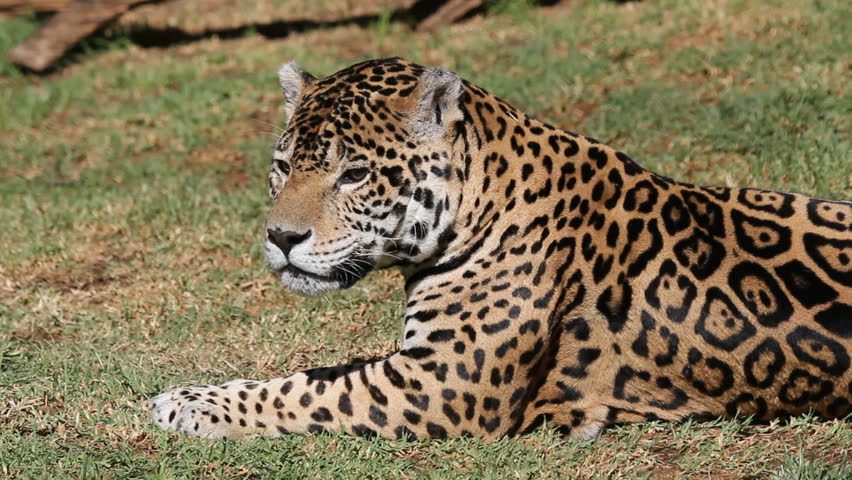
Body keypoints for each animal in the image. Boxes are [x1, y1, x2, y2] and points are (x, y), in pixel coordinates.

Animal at [148, 57, 852, 441]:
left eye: (354, 175)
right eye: (283, 166)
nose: (282, 238)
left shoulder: (440, 382)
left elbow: (305, 391)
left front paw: (186, 403)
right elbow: (322, 370)